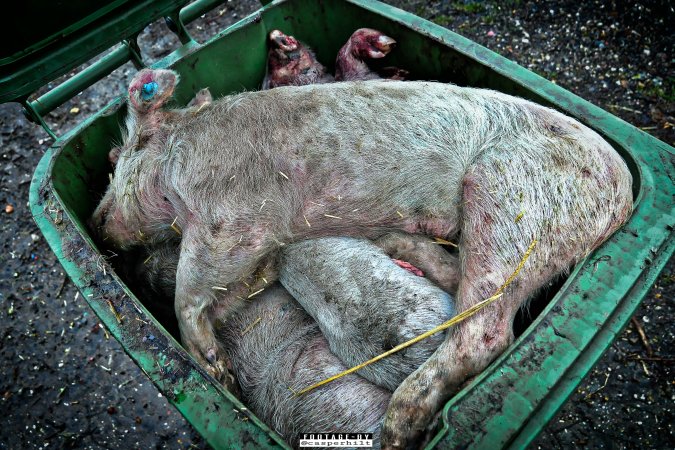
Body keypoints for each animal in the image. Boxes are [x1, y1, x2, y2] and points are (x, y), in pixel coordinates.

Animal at [90, 68, 632, 448]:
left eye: (118, 157)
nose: (95, 221)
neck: (177, 156)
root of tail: (624, 192)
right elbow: (235, 290)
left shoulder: (235, 219)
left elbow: (191, 290)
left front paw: (215, 370)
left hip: (509, 199)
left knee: (485, 332)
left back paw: (397, 429)